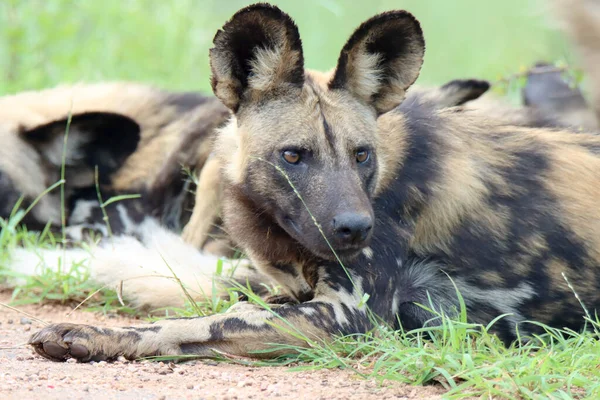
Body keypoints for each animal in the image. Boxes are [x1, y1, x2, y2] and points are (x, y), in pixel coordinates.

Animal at [27, 2, 600, 362]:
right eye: (293, 156)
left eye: (362, 154)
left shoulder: (346, 316)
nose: (355, 229)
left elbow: (203, 320)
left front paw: (96, 334)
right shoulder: (299, 293)